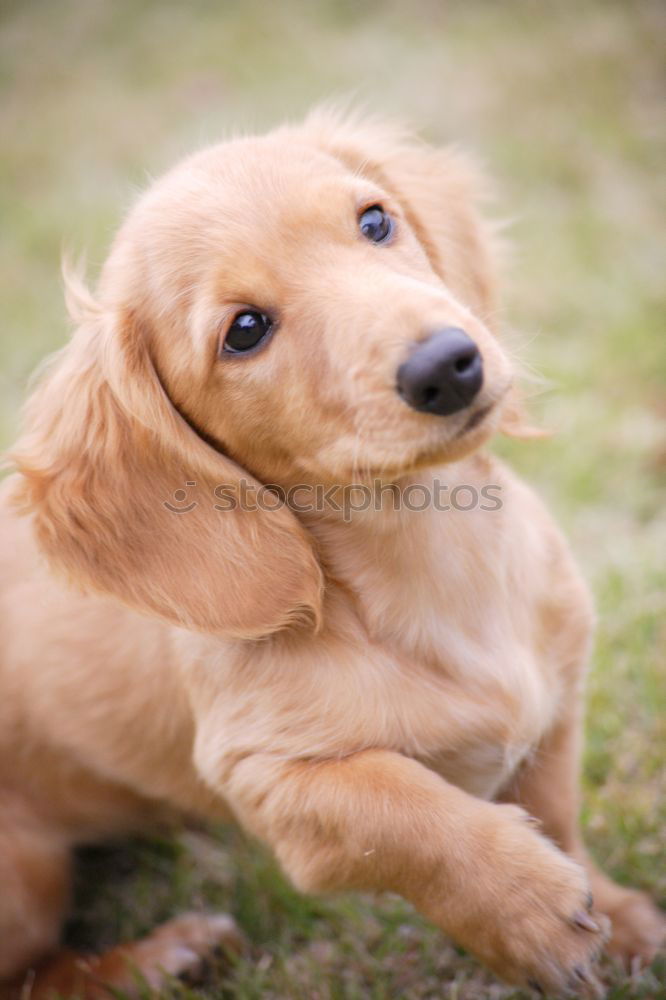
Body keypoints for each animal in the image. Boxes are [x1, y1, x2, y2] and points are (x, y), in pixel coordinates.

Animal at [0, 111, 660, 1000]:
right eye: (245, 331)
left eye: (374, 221)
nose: (449, 365)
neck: (429, 559)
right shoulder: (271, 780)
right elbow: (398, 809)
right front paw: (531, 912)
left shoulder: (559, 692)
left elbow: (555, 809)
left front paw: (619, 919)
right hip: (23, 879)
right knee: (34, 972)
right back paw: (162, 956)